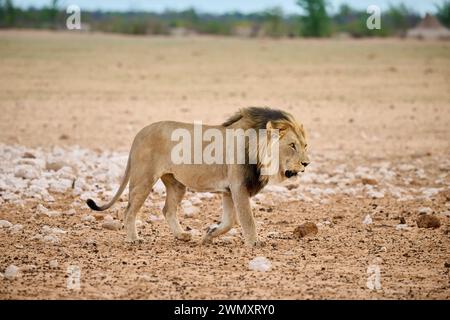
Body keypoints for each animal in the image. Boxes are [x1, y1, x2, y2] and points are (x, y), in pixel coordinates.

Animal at [87, 107, 310, 248]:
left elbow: (229, 221)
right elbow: (247, 219)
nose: (307, 163)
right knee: (129, 210)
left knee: (167, 209)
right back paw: (134, 239)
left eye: (305, 145)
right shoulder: (238, 187)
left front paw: (209, 235)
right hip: (144, 179)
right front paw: (254, 243)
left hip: (176, 184)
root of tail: (138, 134)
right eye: (292, 145)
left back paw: (182, 236)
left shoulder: (229, 191)